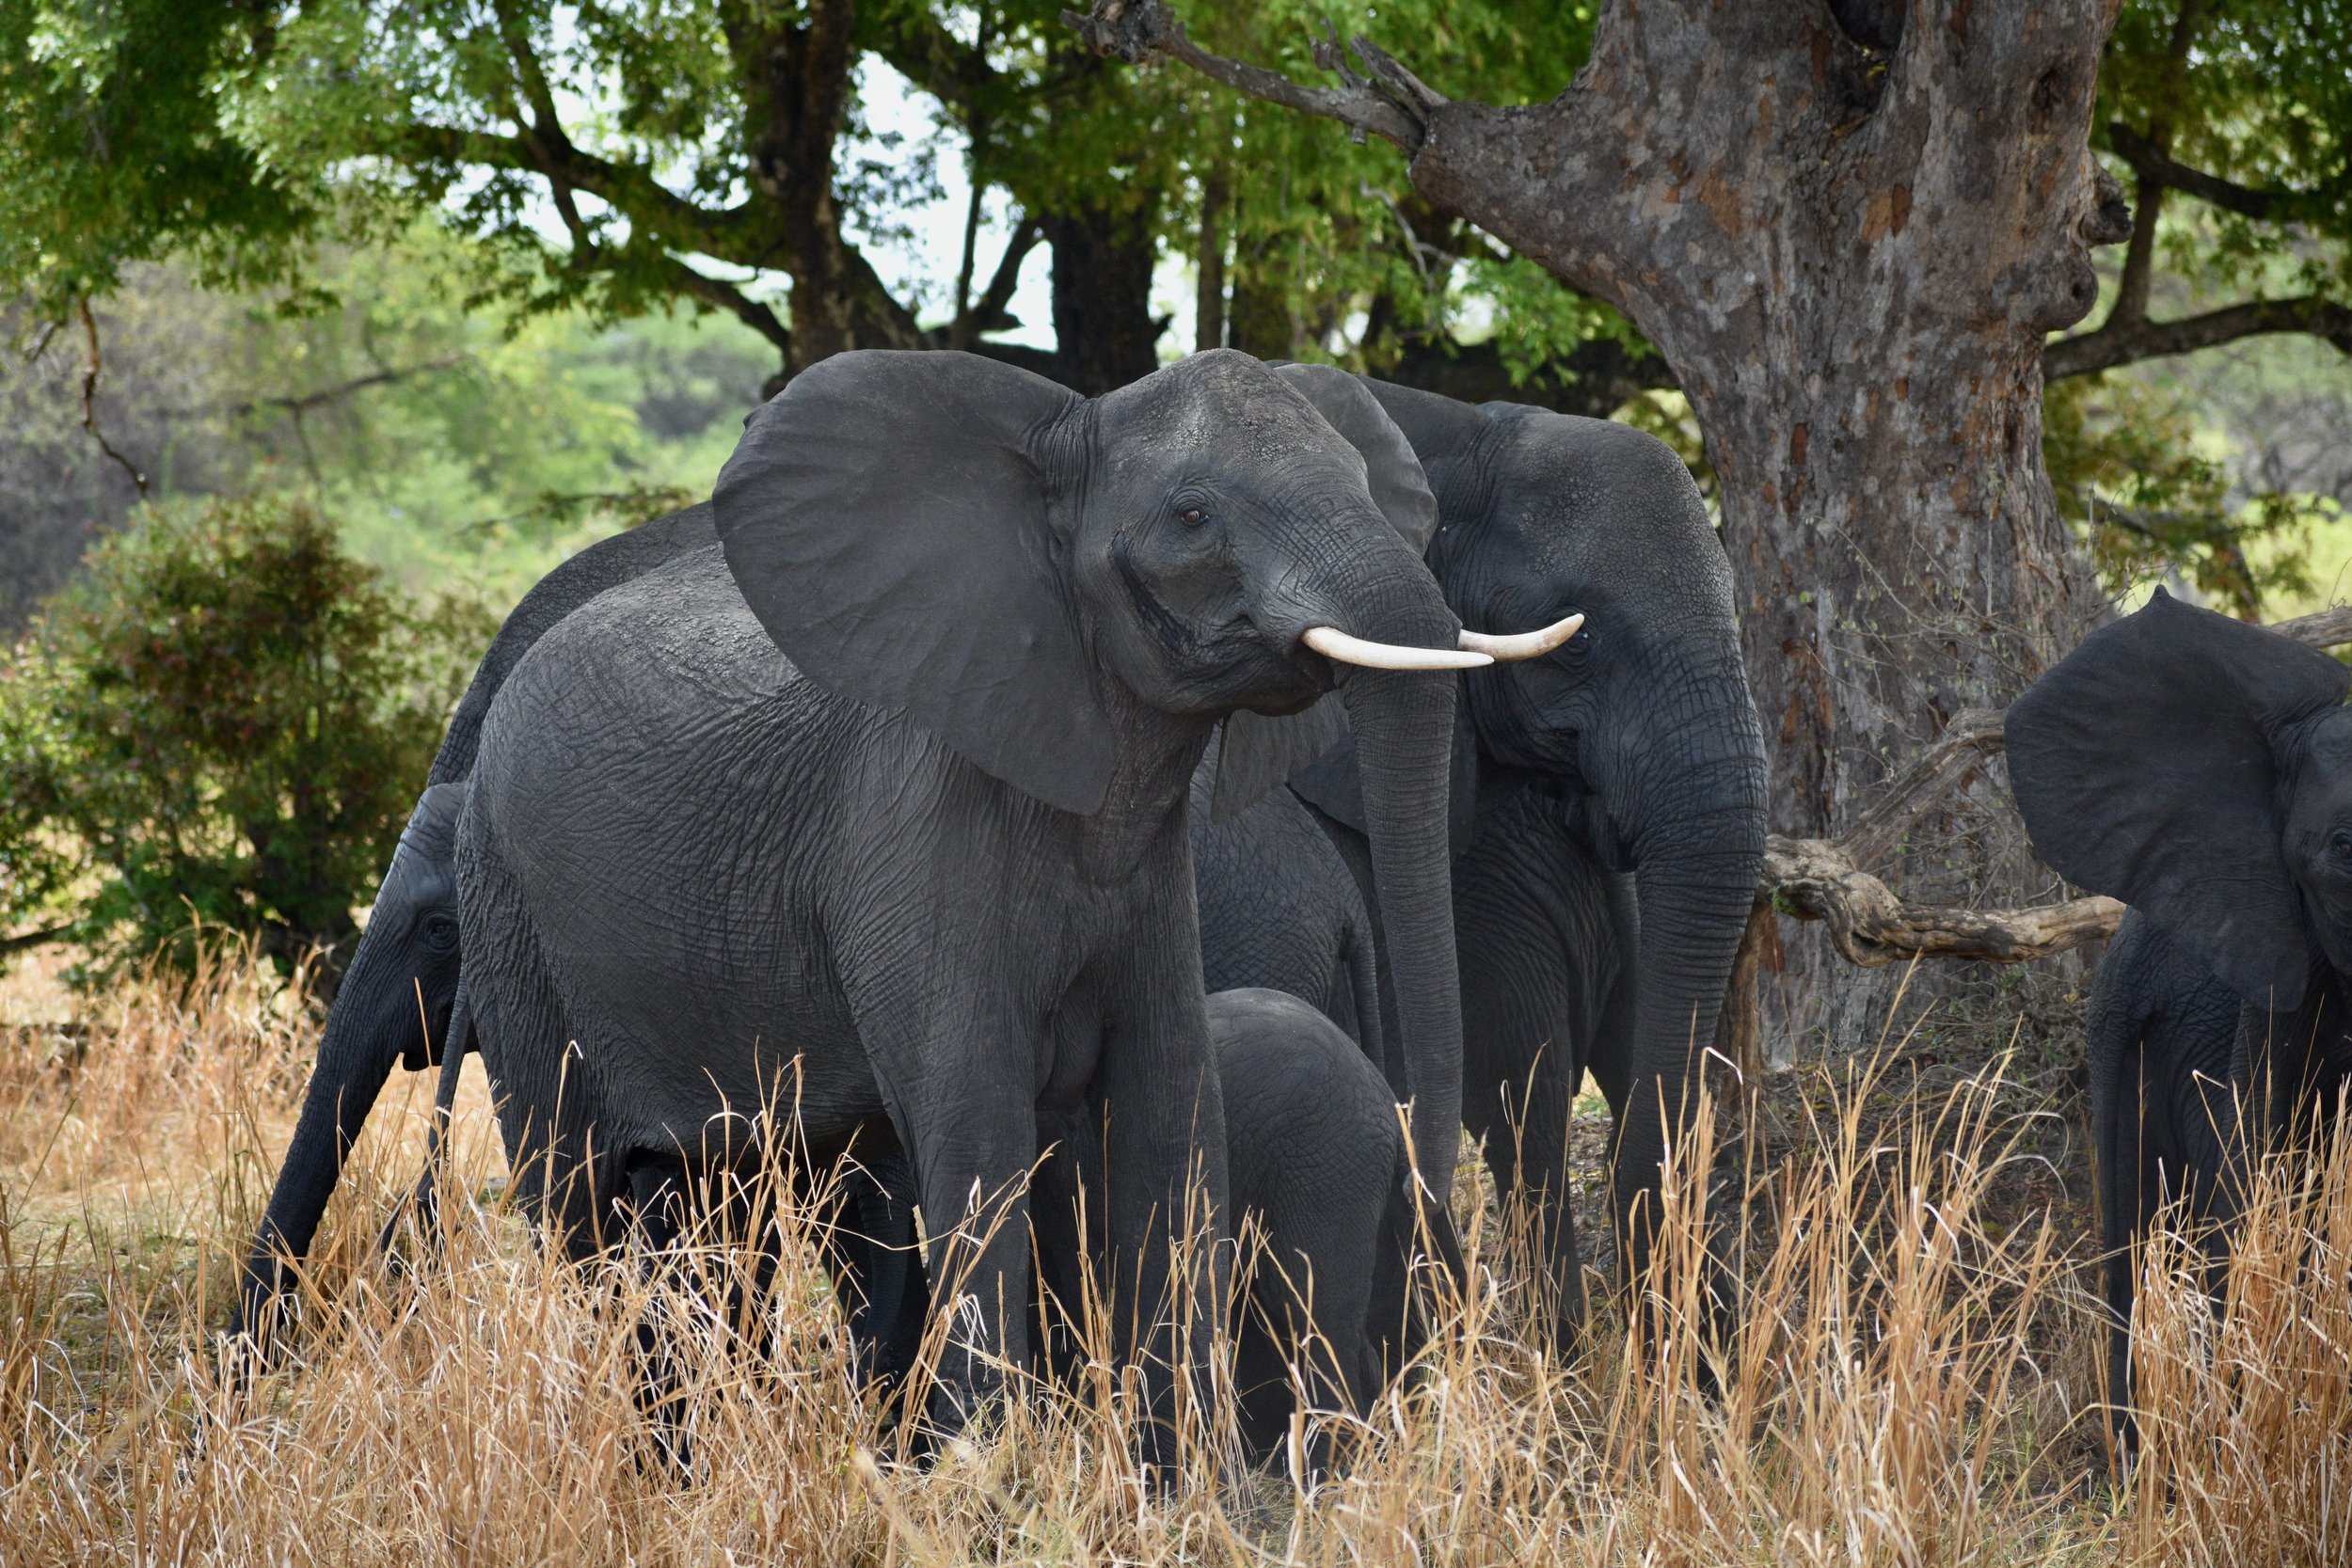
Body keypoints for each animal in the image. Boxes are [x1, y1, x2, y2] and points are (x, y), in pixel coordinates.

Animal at [452, 348, 1575, 1443]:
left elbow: (1170, 1109)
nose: (1430, 1189)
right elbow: (977, 1126)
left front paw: (1177, 1476)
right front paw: (986, 1472)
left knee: (703, 1205)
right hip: (509, 911)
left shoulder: (1148, 872)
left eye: (1359, 483)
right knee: (584, 1202)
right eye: (1192, 514)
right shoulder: (909, 829)